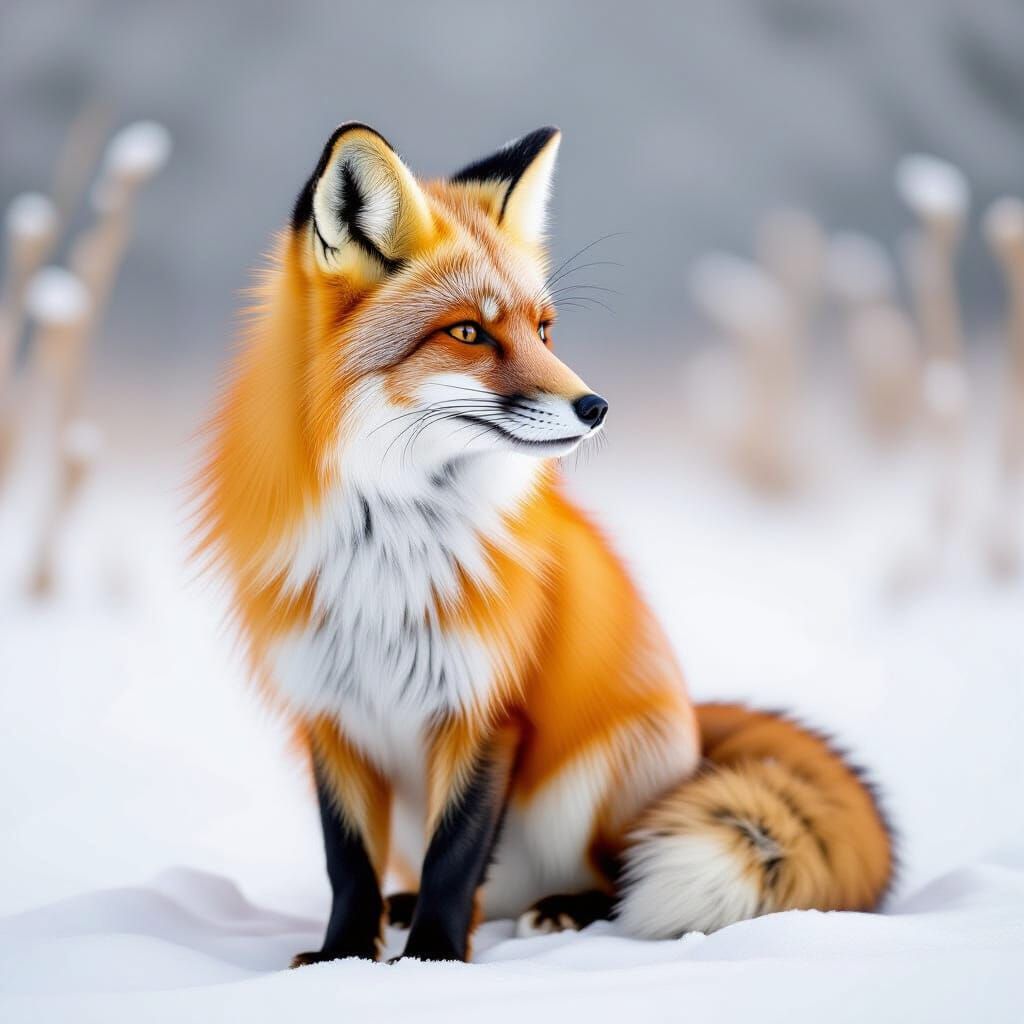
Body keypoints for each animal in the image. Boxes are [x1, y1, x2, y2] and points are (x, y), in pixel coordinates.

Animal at [198, 123, 893, 964]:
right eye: (468, 331)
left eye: (543, 328)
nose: (596, 407)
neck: (387, 546)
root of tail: (693, 729)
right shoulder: (330, 715)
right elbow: (349, 863)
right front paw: (342, 959)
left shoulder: (487, 707)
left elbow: (457, 854)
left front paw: (430, 960)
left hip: (587, 787)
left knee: (612, 874)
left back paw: (563, 907)